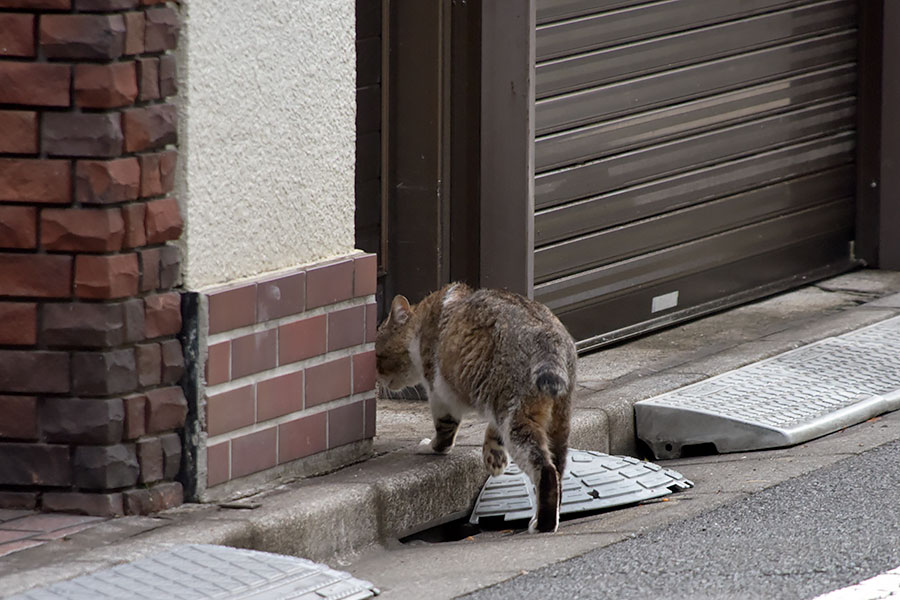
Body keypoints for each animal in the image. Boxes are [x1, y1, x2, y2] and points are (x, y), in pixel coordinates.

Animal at [374, 284, 576, 532]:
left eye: (377, 356)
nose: (376, 379)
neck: (423, 321)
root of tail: (548, 337)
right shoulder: (498, 405)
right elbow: (492, 432)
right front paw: (494, 457)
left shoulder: (440, 393)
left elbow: (444, 430)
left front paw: (431, 446)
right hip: (557, 420)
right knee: (558, 467)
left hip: (518, 419)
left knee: (545, 469)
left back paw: (543, 524)